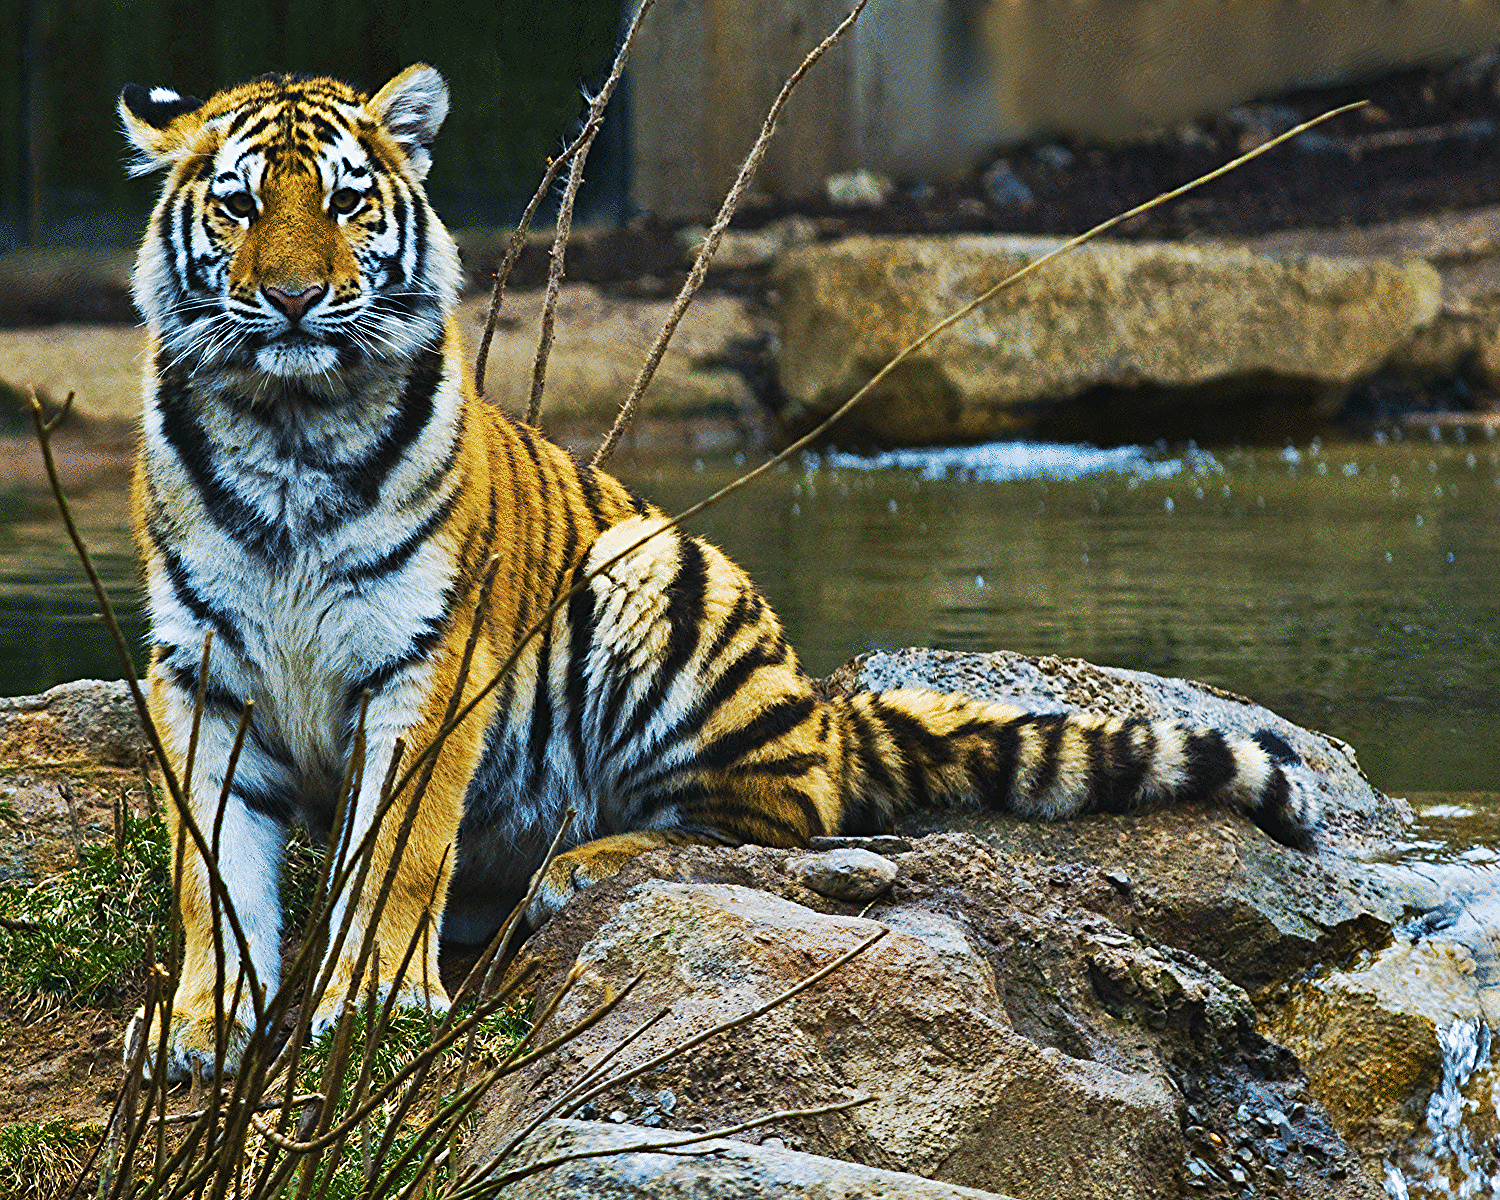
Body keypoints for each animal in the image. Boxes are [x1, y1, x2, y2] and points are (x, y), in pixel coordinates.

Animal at [119, 65, 1317, 1081]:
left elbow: (398, 854)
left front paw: (370, 1000)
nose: (291, 298)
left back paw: (582, 867)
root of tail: (822, 706)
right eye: (237, 207)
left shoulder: (427, 663)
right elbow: (209, 868)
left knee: (781, 818)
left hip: (652, 578)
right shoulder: (201, 672)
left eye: (347, 202)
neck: (288, 427)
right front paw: (202, 1024)